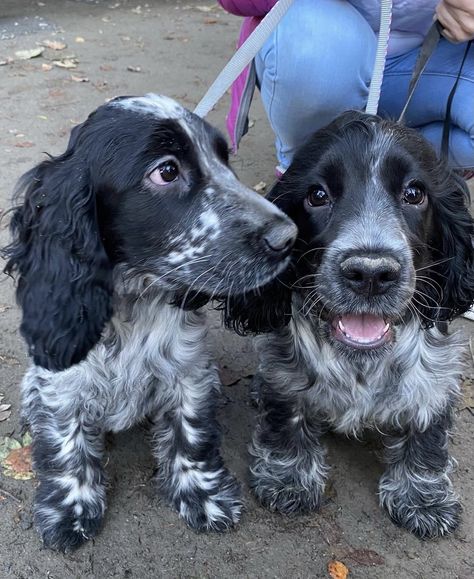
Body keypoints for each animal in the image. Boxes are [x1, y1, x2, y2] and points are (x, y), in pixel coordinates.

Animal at [226, 112, 474, 540]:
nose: (371, 273)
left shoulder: (436, 374)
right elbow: (287, 414)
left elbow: (428, 429)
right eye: (317, 195)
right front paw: (288, 478)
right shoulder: (287, 367)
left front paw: (423, 499)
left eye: (414, 193)